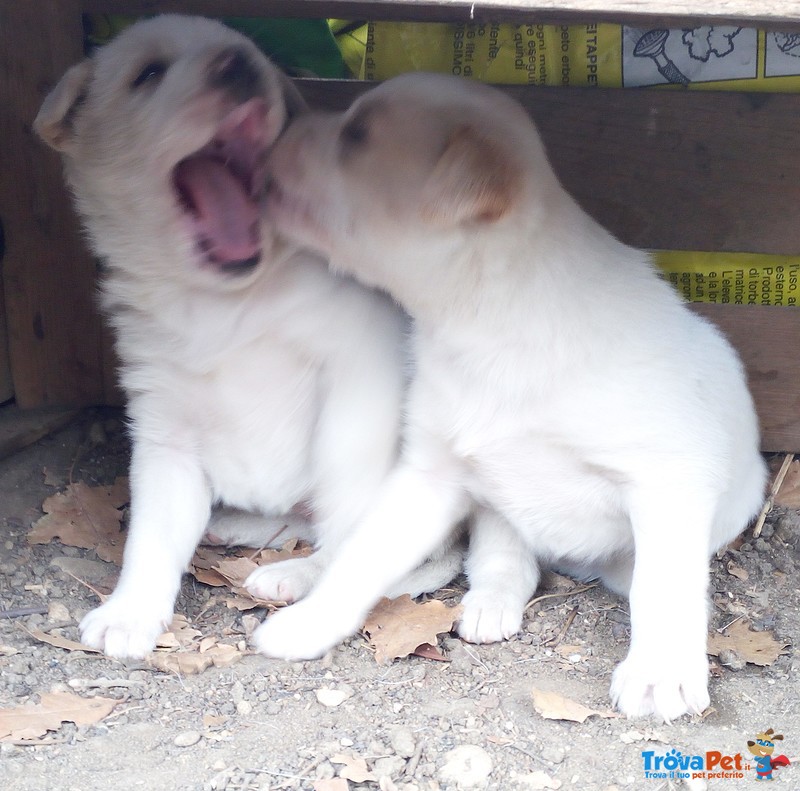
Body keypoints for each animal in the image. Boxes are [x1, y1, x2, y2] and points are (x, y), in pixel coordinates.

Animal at [36, 18, 462, 664]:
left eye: (255, 55)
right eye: (148, 73)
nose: (237, 62)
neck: (222, 302)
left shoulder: (361, 376)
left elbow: (357, 522)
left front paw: (319, 578)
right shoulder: (163, 423)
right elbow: (152, 533)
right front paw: (129, 612)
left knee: (414, 550)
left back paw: (296, 572)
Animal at [255, 71, 764, 720]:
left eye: (358, 134)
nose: (278, 124)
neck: (488, 323)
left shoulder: (669, 478)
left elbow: (664, 584)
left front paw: (660, 673)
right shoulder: (430, 475)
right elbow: (363, 556)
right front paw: (310, 622)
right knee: (484, 558)